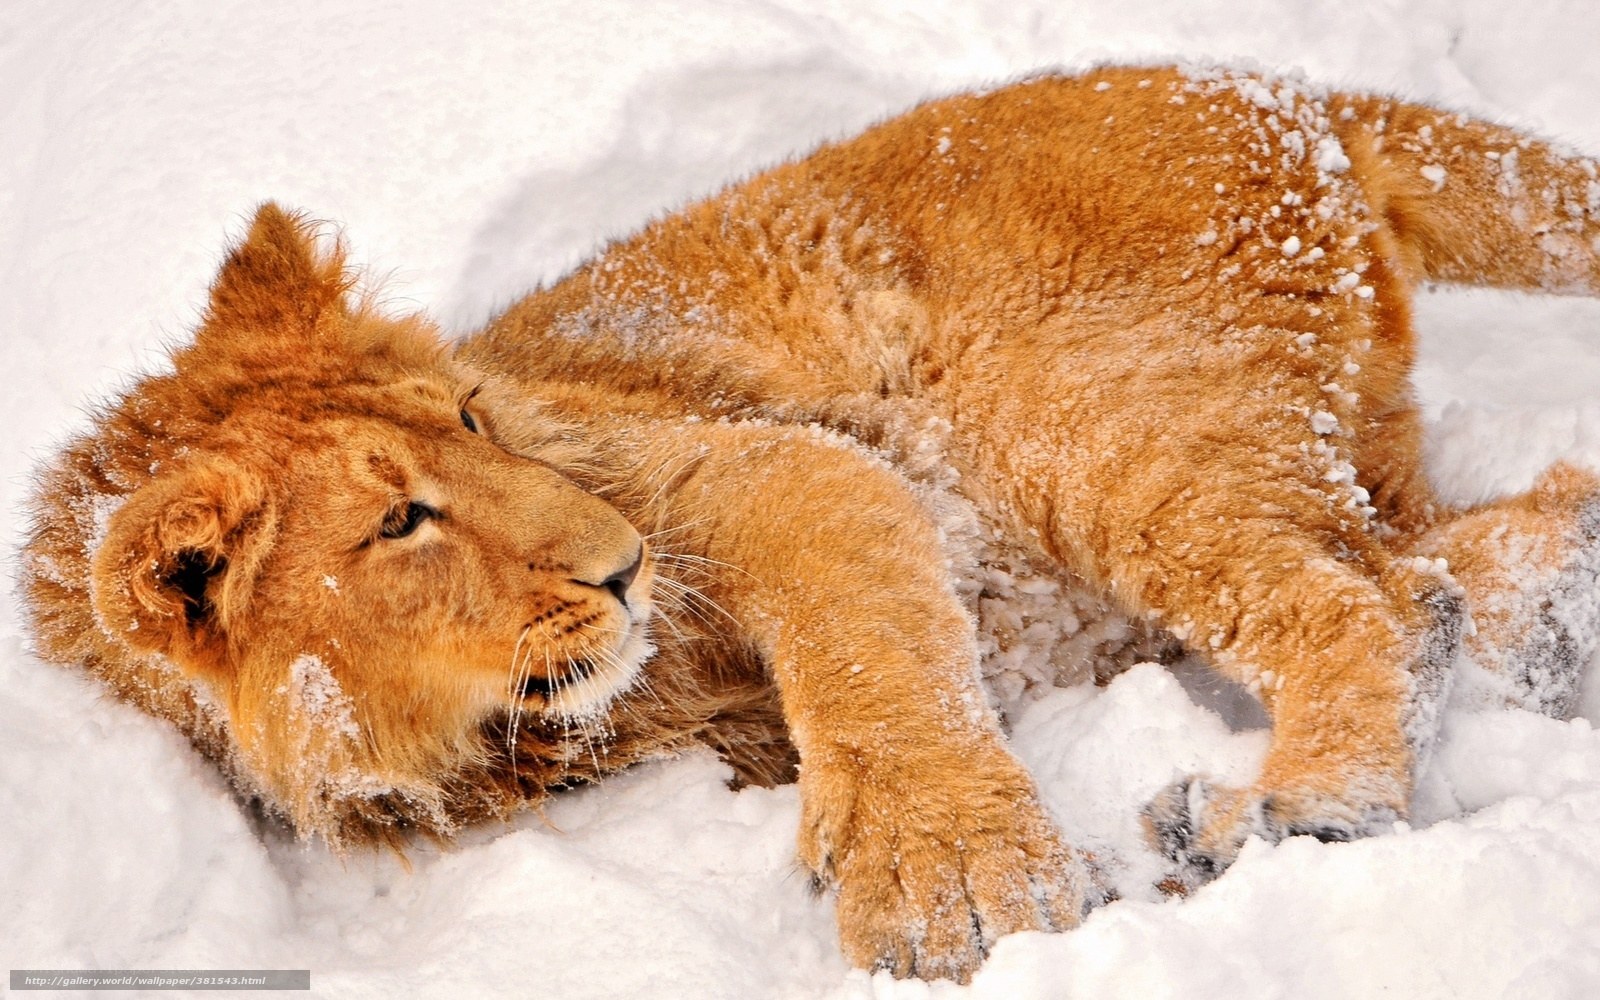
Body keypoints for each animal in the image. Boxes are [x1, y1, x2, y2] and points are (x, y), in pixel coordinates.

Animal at [21, 65, 1600, 981]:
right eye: (399, 522)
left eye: (471, 417)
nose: (622, 563)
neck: (485, 737)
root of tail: (1273, 89)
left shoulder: (757, 466)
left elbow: (861, 647)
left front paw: (953, 885)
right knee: (1463, 557)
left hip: (1086, 422)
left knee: (1371, 601)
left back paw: (1290, 812)